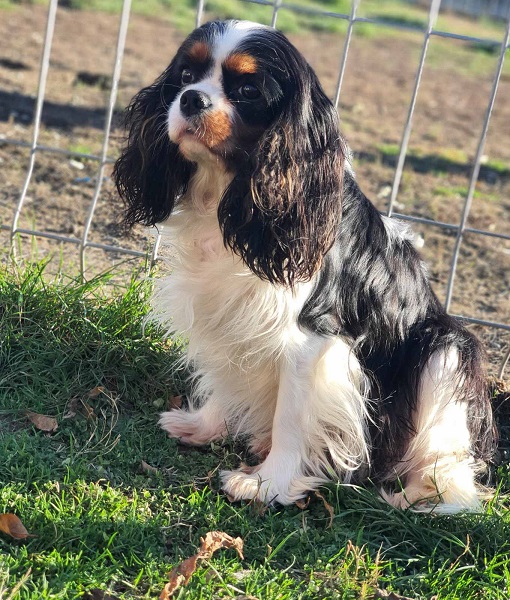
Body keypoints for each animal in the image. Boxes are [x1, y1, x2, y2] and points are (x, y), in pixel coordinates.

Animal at [114, 18, 494, 510]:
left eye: (248, 89)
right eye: (185, 75)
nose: (191, 98)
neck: (230, 194)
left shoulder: (311, 342)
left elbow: (292, 419)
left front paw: (266, 483)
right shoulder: (228, 314)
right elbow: (227, 374)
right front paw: (205, 426)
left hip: (446, 348)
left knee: (449, 468)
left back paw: (417, 495)